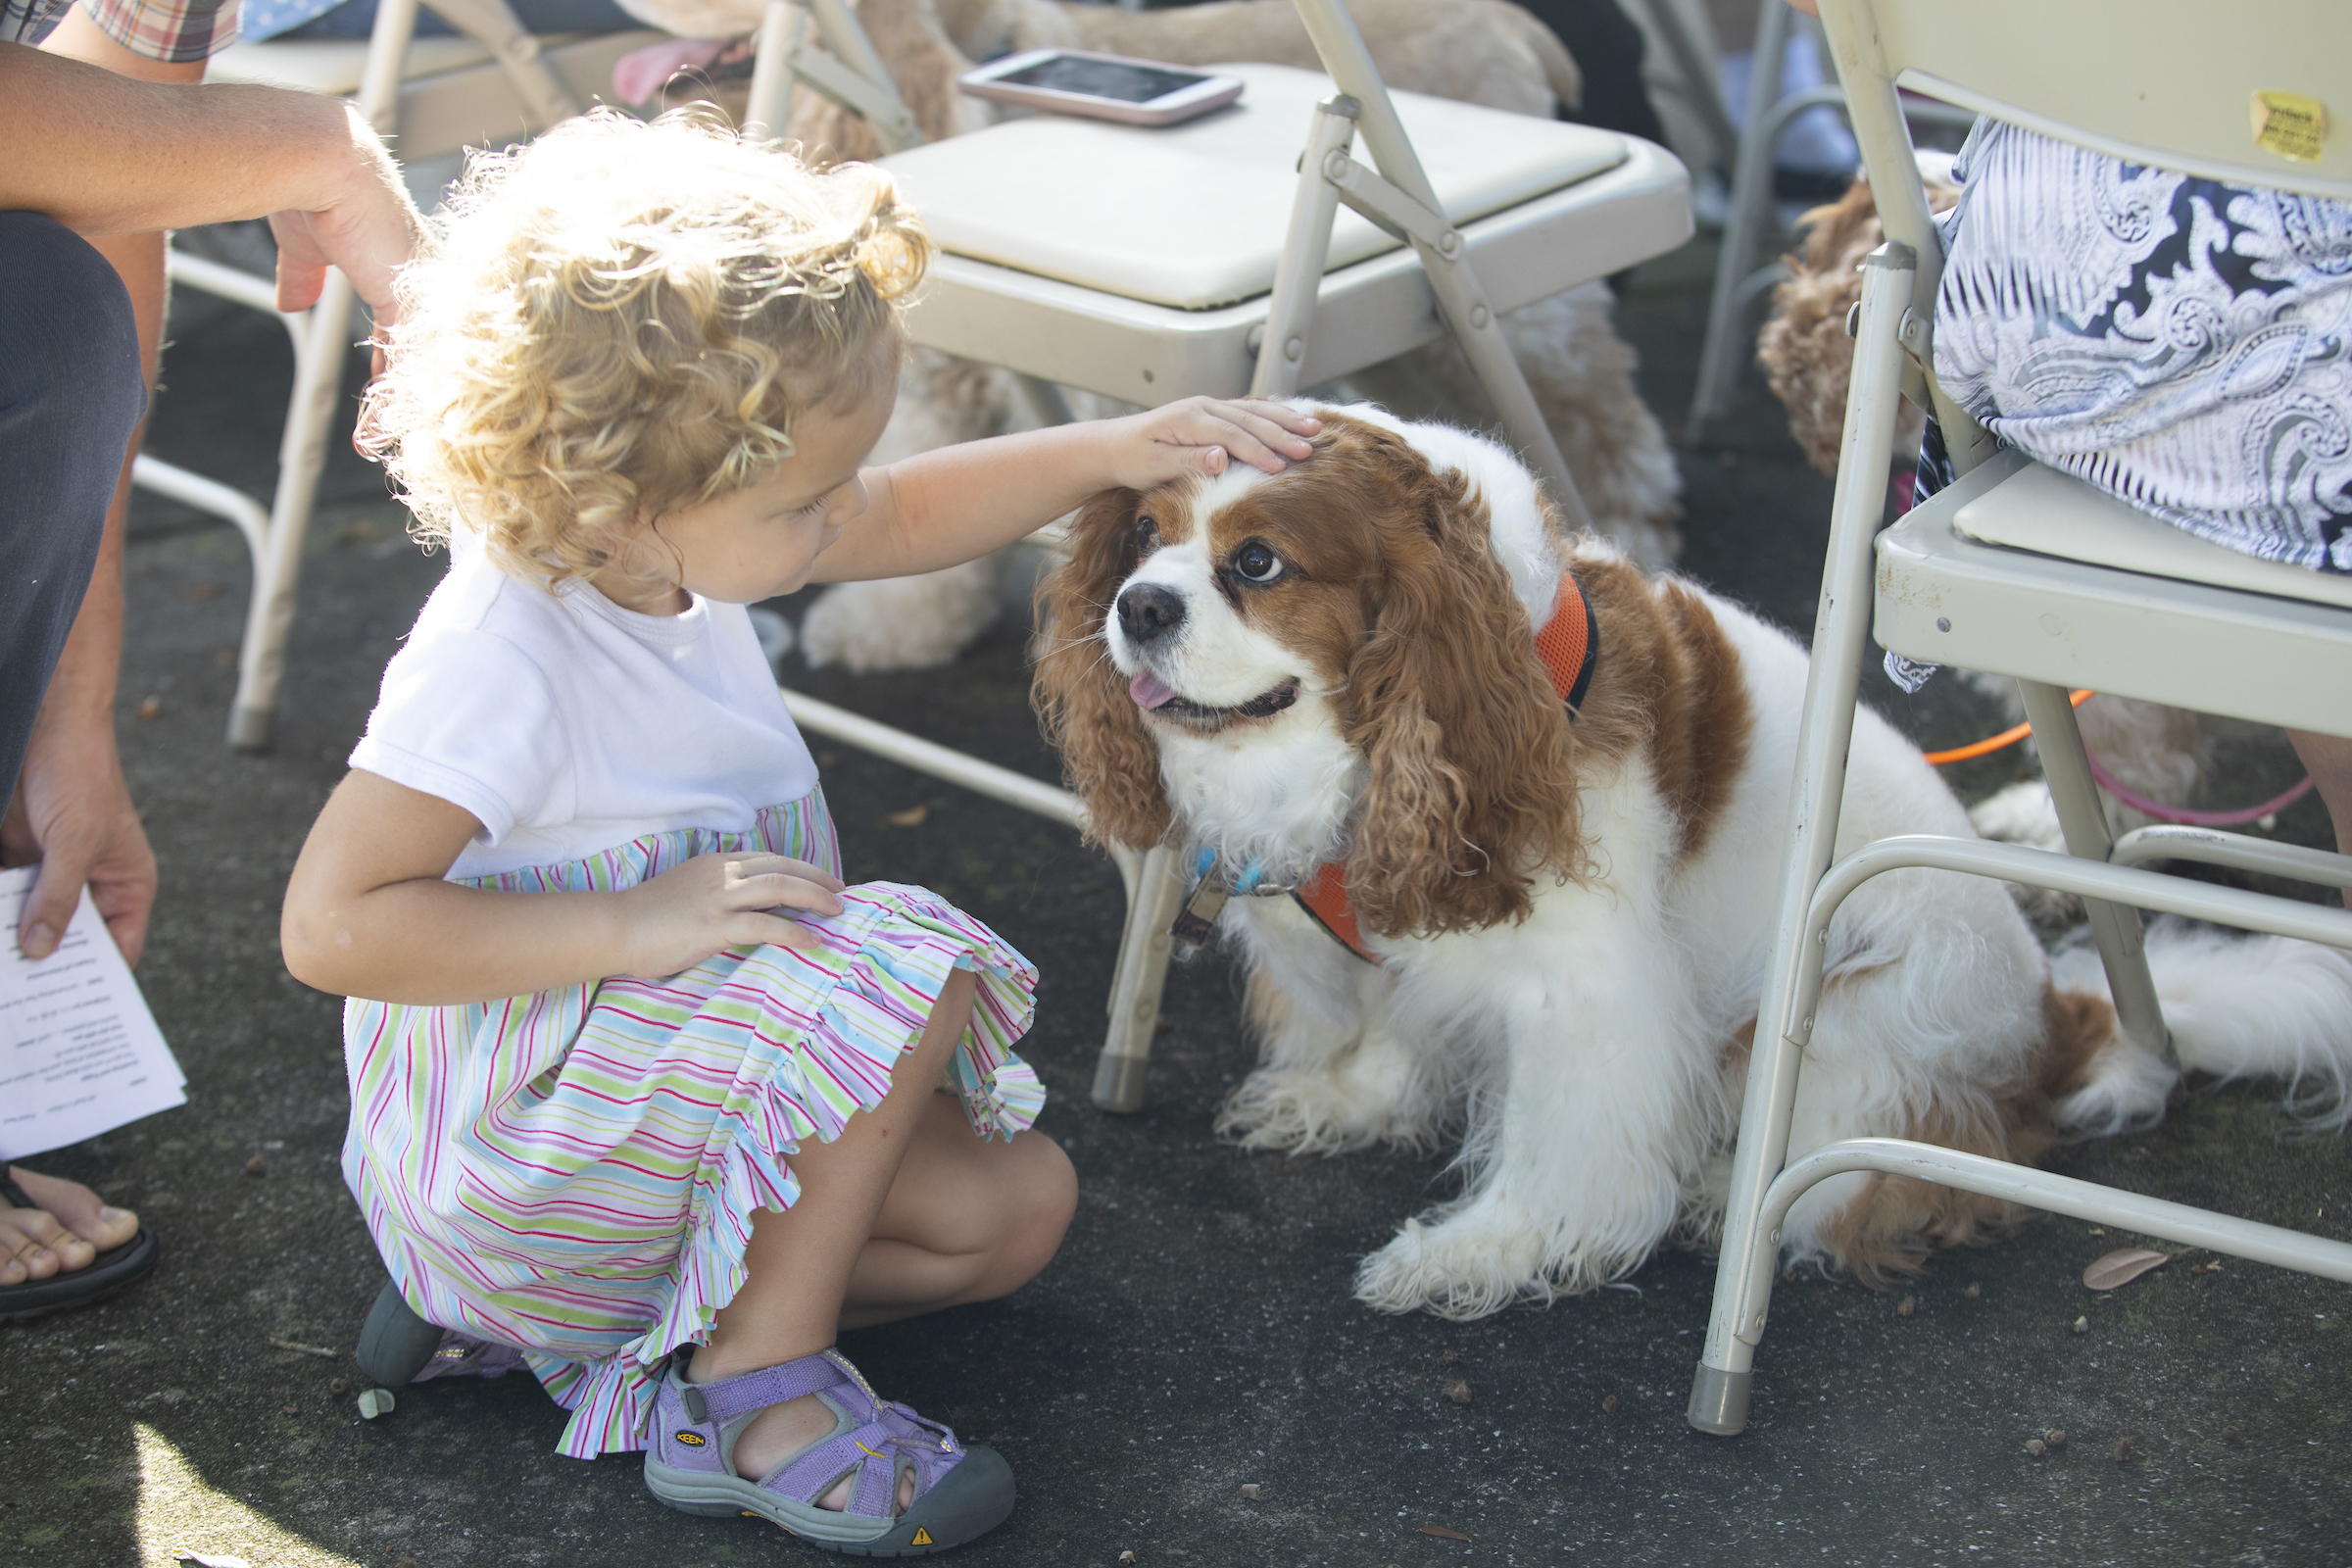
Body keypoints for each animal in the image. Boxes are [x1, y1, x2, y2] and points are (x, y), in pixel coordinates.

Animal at [1039, 402, 2352, 1316]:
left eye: (1257, 564)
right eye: (1143, 536)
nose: (1139, 606)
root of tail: (2055, 1018)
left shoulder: (1588, 989)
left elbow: (1564, 1143)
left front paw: (1484, 1249)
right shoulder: (1435, 922)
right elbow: (1401, 1025)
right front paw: (1347, 1098)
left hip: (1858, 1015)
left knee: (1878, 1176)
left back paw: (1730, 1195)